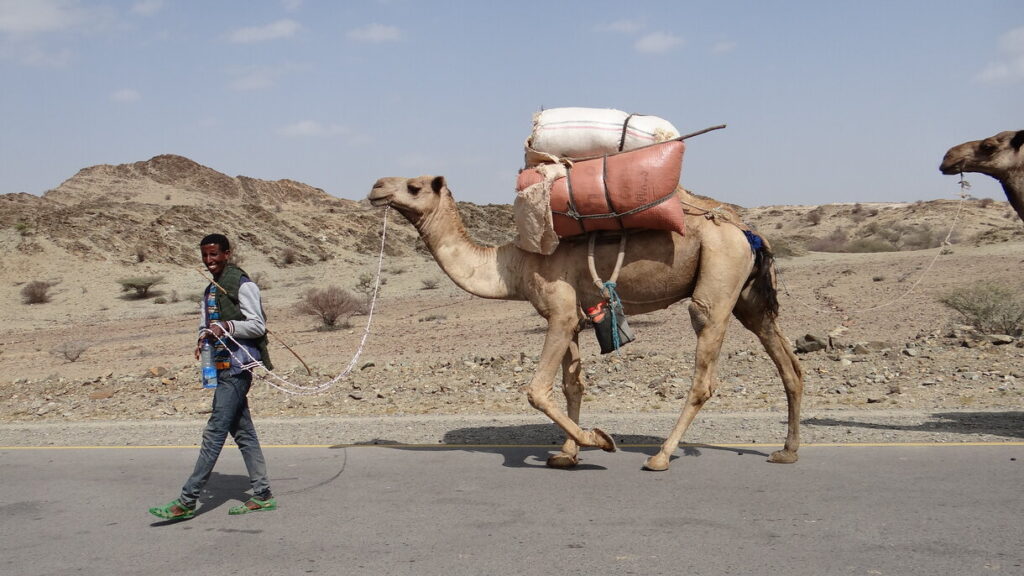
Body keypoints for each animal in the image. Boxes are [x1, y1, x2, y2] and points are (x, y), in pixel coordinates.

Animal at [364, 176, 802, 471]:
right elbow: (572, 385)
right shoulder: (573, 318)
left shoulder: (557, 311)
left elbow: (537, 390)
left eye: (414, 186)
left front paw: (598, 440)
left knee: (704, 367)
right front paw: (566, 453)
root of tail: (747, 231)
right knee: (788, 364)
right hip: (748, 297)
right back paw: (787, 451)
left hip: (719, 273)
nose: (376, 186)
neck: (512, 264)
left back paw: (661, 455)